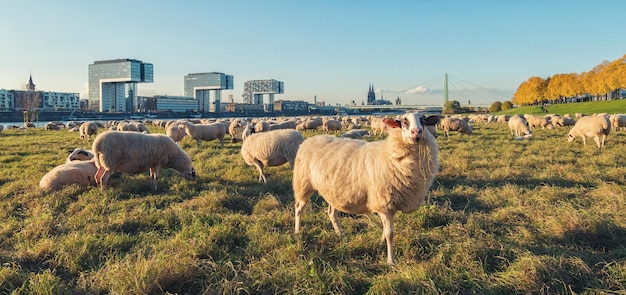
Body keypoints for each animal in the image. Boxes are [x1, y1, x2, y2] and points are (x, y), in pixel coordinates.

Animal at [292, 112, 438, 264]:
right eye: (404, 121)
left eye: (423, 120)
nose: (417, 132)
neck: (389, 153)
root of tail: (309, 140)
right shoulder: (384, 202)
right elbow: (390, 233)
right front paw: (391, 260)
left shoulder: (386, 203)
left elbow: (385, 229)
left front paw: (381, 242)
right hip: (303, 183)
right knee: (299, 207)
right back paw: (297, 231)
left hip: (332, 190)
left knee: (331, 212)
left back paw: (340, 233)